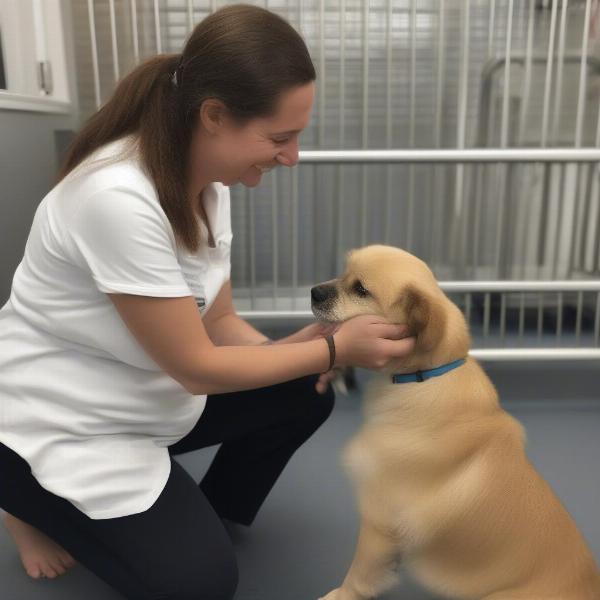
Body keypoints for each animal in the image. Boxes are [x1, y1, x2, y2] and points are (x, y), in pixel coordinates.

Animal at [314, 245, 600, 600]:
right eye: (344, 273)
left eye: (361, 290)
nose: (313, 292)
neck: (424, 376)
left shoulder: (378, 521)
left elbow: (358, 575)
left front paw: (341, 594)